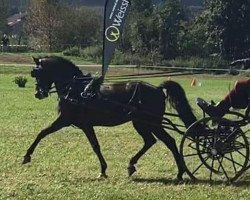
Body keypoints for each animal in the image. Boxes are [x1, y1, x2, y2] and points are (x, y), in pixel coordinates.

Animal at [22, 55, 197, 180]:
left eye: (36, 73)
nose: (38, 94)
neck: (76, 89)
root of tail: (158, 89)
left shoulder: (65, 120)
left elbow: (42, 133)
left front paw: (26, 156)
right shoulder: (85, 125)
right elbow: (95, 145)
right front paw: (103, 170)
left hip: (150, 123)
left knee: (169, 142)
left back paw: (180, 172)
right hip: (142, 123)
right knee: (151, 141)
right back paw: (133, 166)